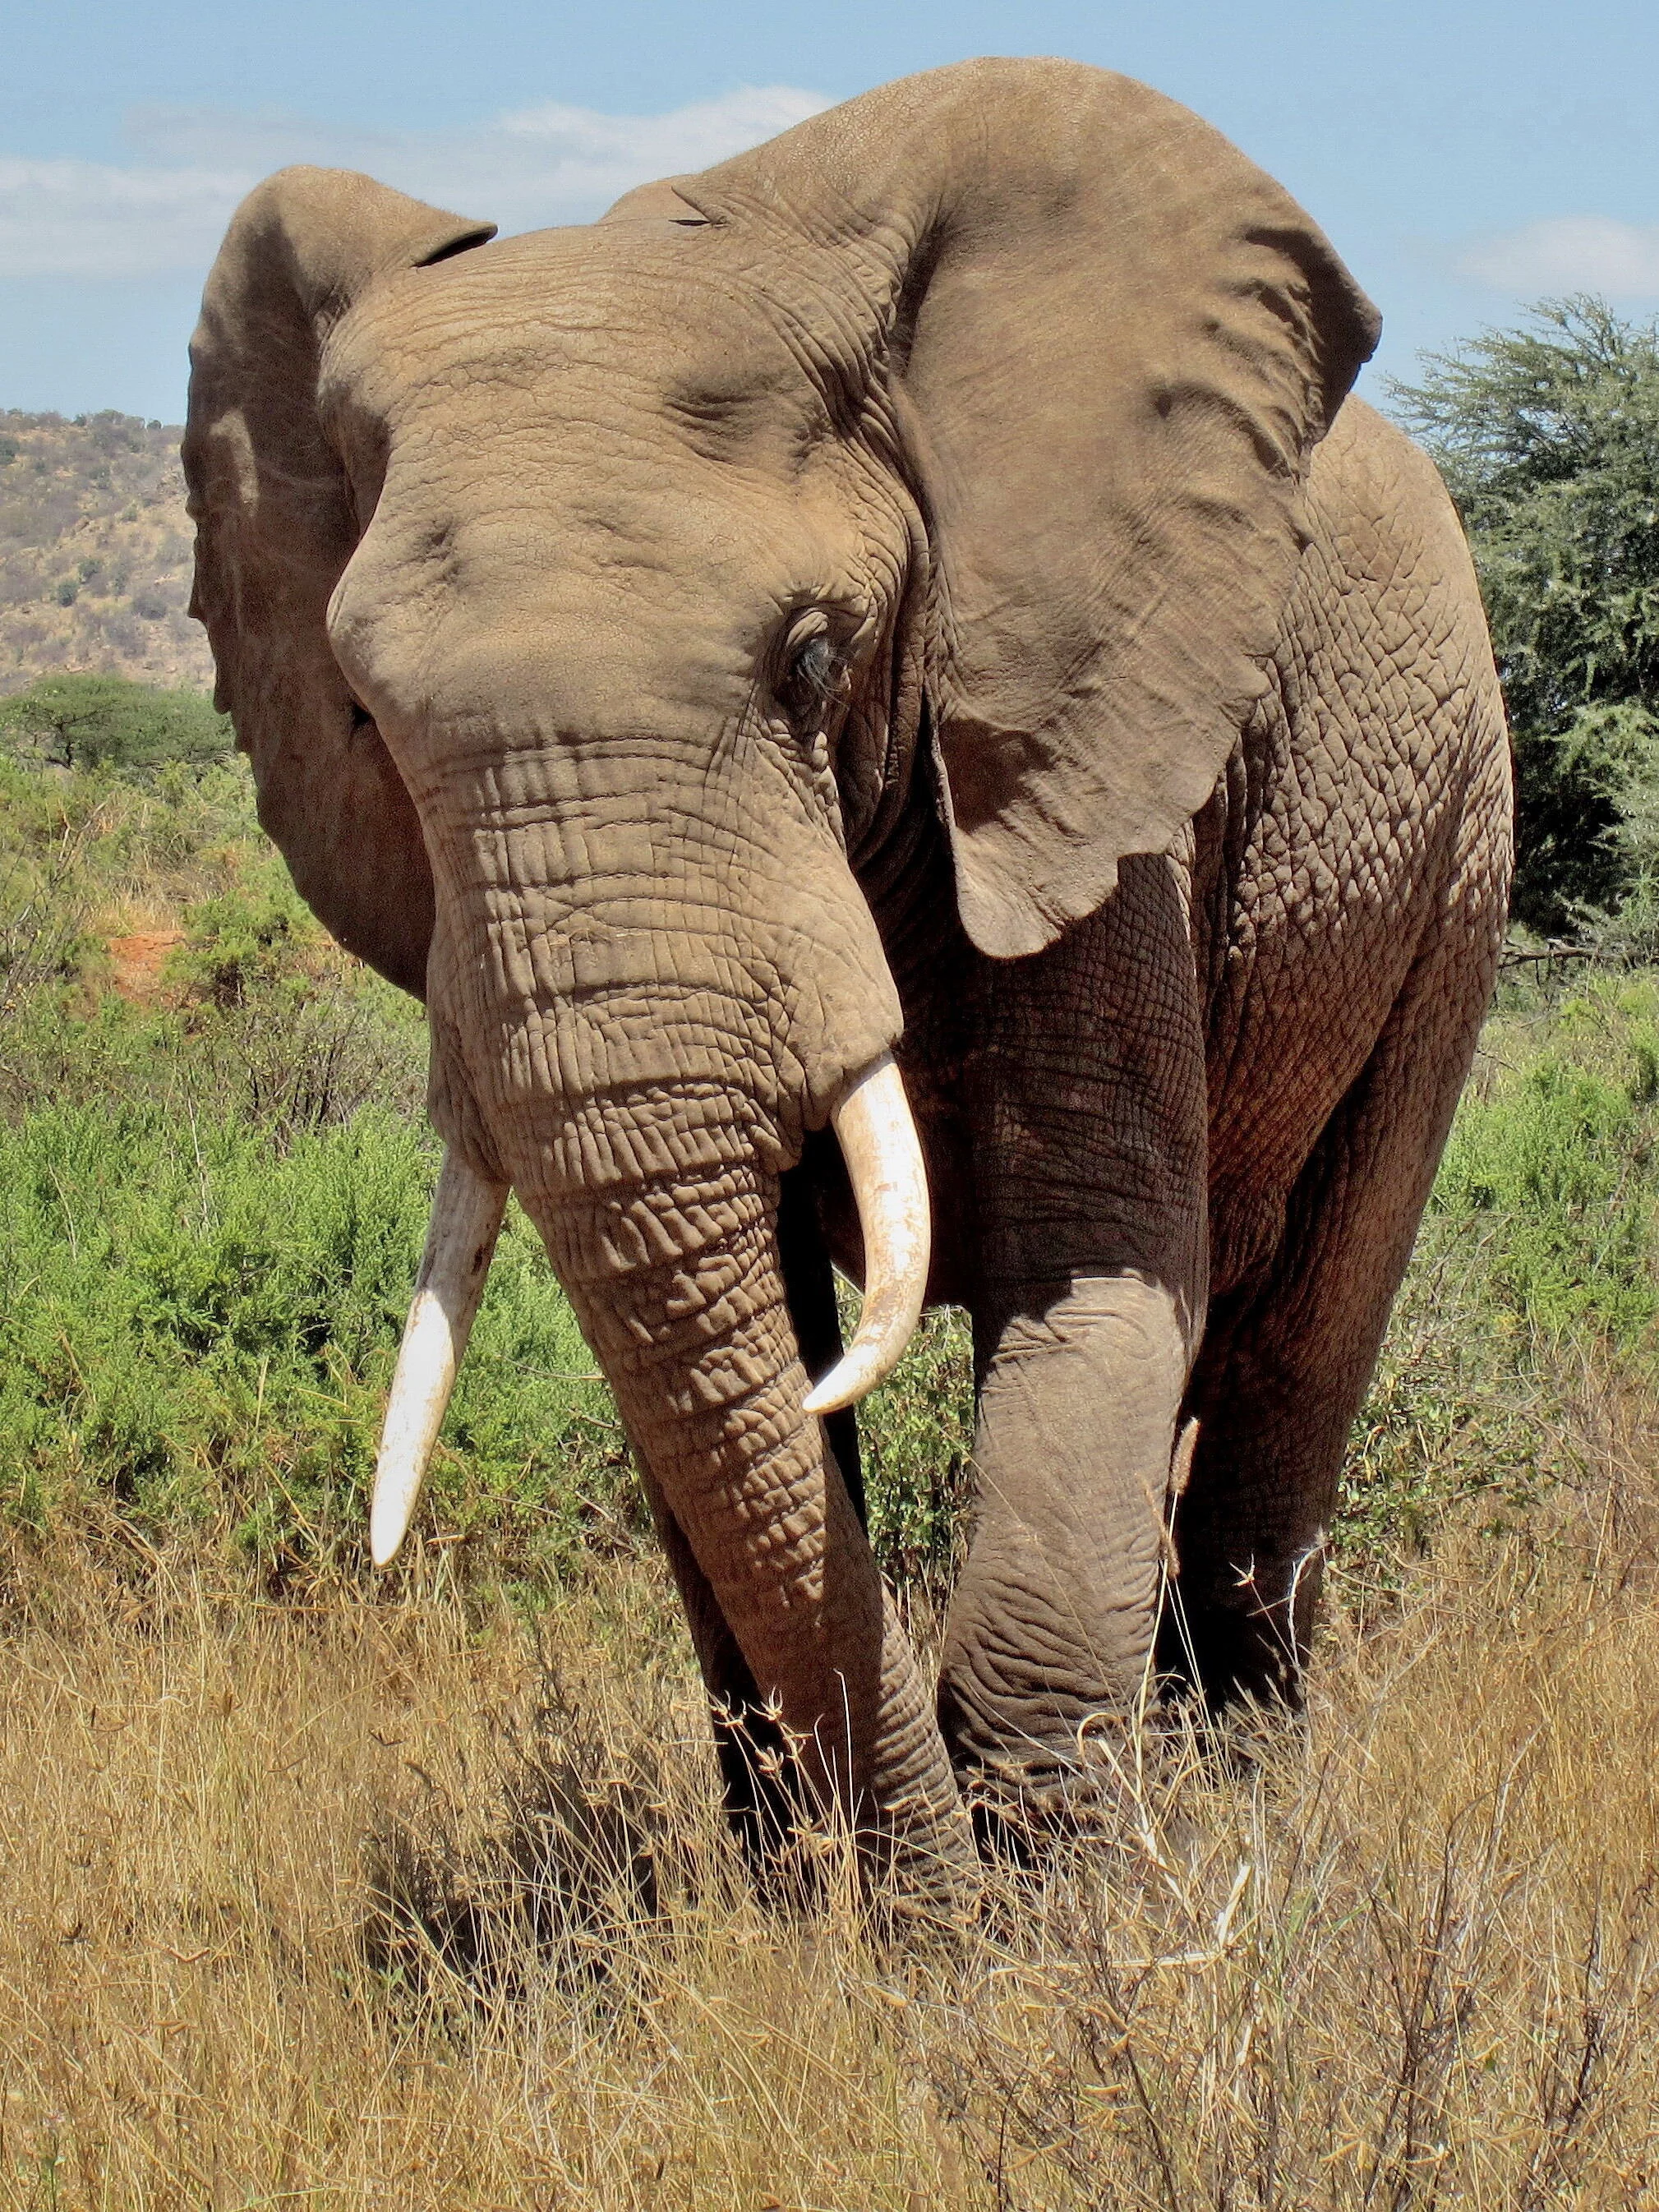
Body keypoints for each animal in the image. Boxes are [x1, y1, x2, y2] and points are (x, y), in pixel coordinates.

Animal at [183, 58, 1512, 1901]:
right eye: (366, 720)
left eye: (811, 661)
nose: (908, 1901)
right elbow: (710, 1353)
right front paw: (808, 1903)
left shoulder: (1083, 763)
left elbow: (1092, 1270)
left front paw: (1051, 1926)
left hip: (1451, 851)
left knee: (1293, 1358)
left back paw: (1247, 1785)